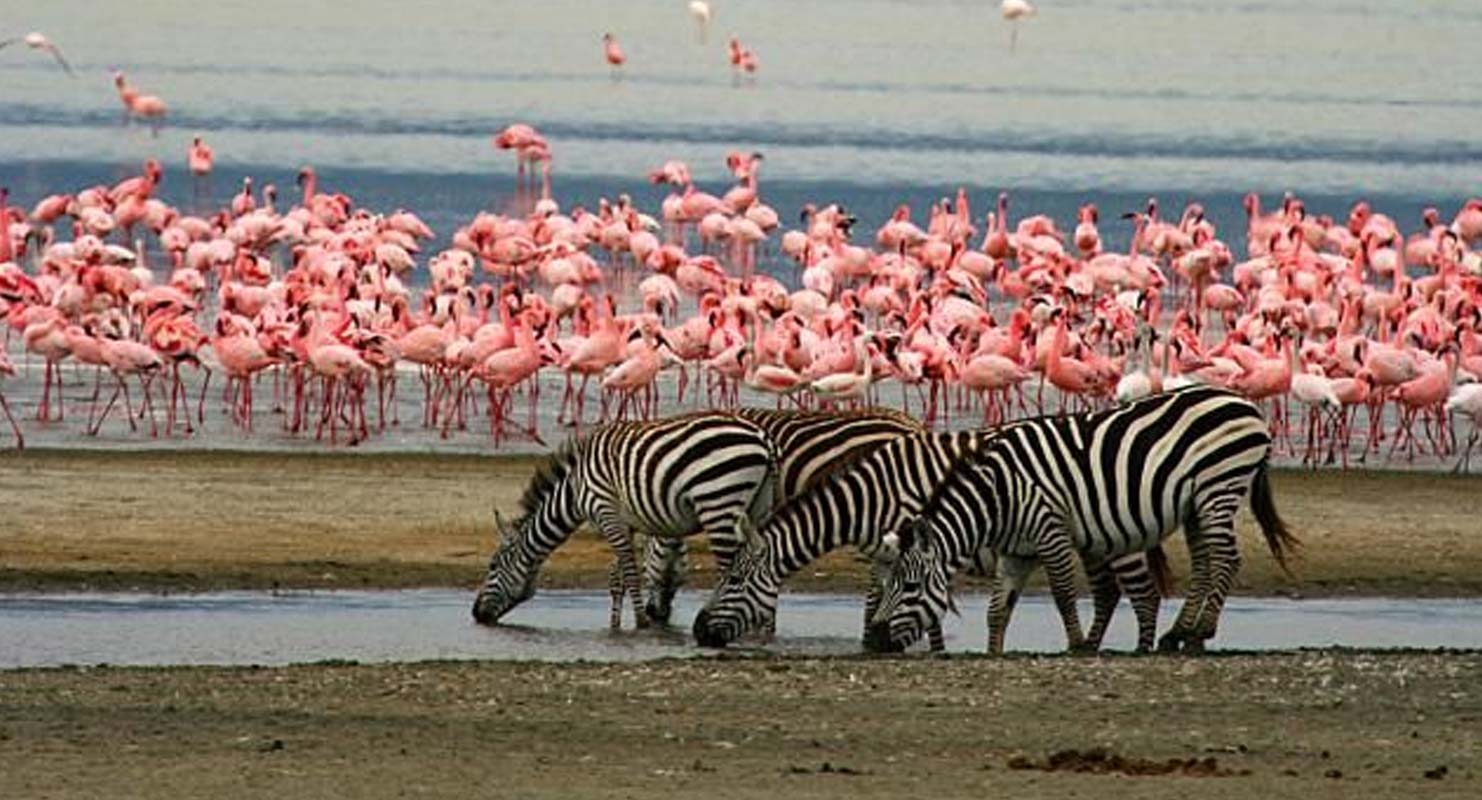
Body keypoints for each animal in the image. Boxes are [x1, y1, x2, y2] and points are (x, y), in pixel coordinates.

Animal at [471, 411, 776, 631]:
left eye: (492, 565)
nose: (475, 614)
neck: (574, 490)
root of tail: (762, 437)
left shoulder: (606, 512)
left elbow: (629, 573)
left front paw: (640, 622)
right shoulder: (622, 522)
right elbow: (616, 578)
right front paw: (615, 626)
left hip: (718, 501)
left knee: (729, 567)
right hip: (754, 509)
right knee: (761, 563)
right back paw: (763, 627)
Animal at [687, 423, 1161, 648]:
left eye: (732, 580)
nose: (698, 632)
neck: (873, 497)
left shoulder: (915, 543)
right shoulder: (885, 554)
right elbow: (880, 602)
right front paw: (878, 640)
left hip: (1116, 533)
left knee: (1142, 594)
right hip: (1093, 541)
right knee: (1108, 594)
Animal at [865, 385, 1304, 651]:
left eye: (910, 586)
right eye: (889, 584)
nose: (877, 641)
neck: (998, 493)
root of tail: (1242, 402)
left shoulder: (1050, 531)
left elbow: (1062, 594)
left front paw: (1076, 645)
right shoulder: (1017, 551)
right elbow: (998, 610)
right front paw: (995, 652)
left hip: (1219, 487)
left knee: (1226, 559)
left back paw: (1199, 632)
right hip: (1197, 503)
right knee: (1203, 563)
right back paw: (1177, 632)